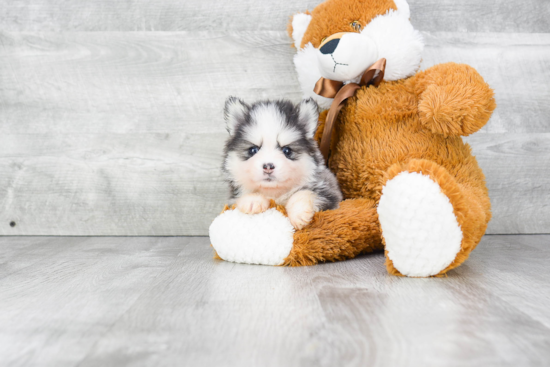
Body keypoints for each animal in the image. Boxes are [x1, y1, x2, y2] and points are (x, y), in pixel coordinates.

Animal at [222, 98, 342, 230]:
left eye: (287, 150)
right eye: (253, 150)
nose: (268, 166)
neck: (275, 193)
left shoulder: (328, 191)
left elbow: (303, 193)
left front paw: (299, 213)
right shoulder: (233, 198)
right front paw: (252, 201)